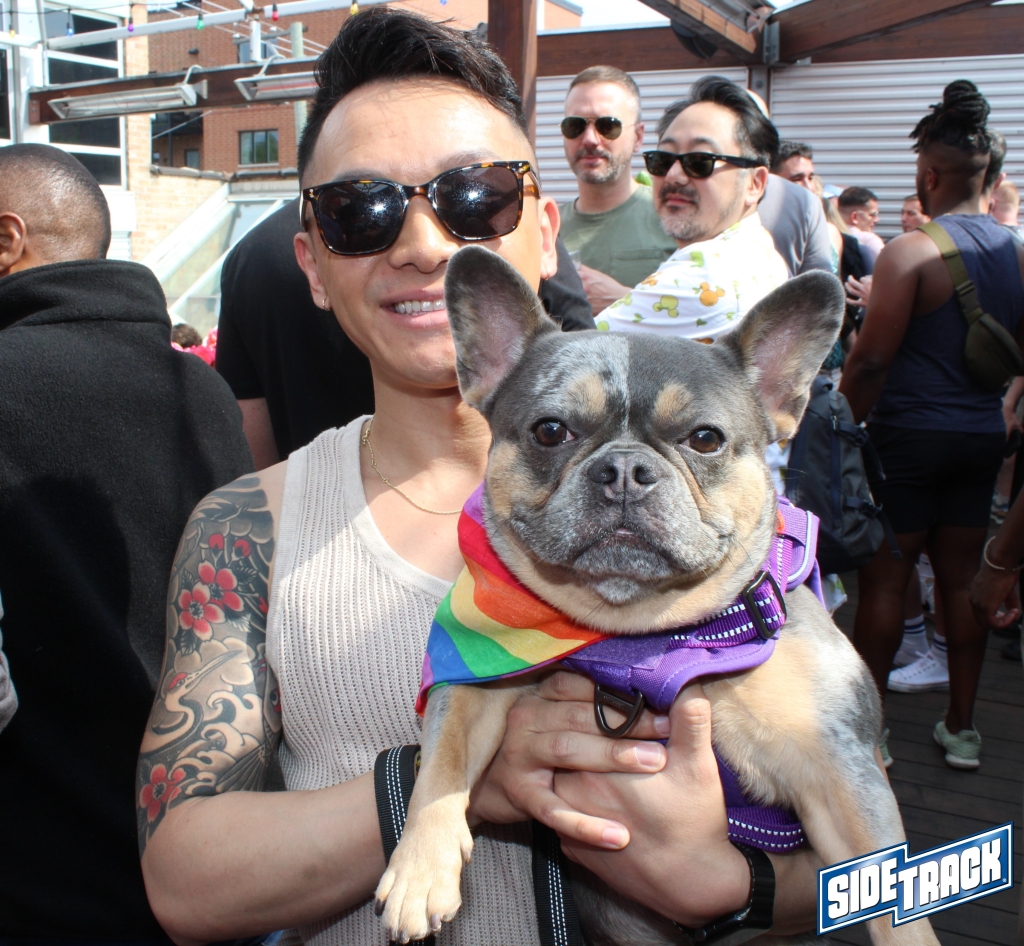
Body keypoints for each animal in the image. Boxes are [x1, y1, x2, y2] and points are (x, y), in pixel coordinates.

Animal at [374, 246, 938, 946]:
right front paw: (419, 868)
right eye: (550, 431)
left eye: (705, 439)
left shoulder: (842, 770)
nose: (624, 469)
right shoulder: (476, 683)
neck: (639, 639)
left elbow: (888, 890)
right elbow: (442, 761)